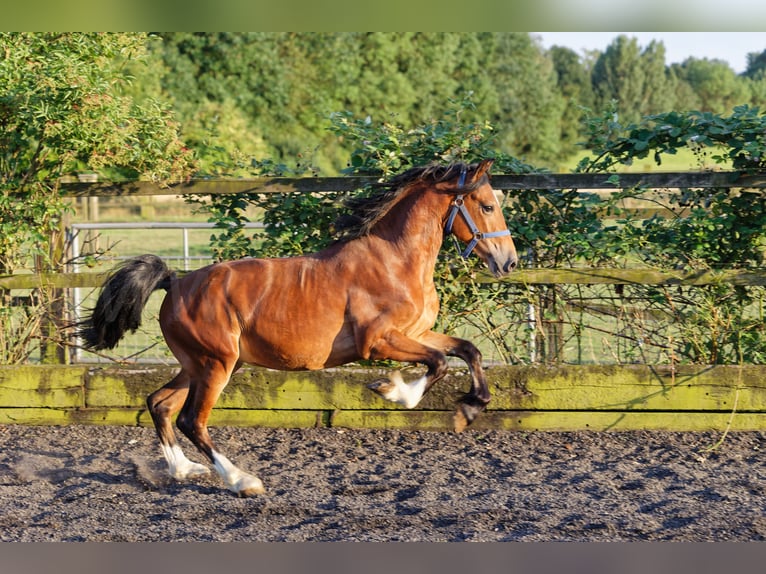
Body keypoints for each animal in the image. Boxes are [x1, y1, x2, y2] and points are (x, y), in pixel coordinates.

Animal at [78, 160, 520, 498]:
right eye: (486, 206)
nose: (509, 262)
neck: (395, 260)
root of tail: (176, 281)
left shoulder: (417, 332)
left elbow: (466, 350)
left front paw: (468, 409)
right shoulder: (377, 343)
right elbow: (439, 363)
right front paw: (392, 389)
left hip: (202, 365)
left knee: (160, 404)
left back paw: (184, 470)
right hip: (216, 365)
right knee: (191, 420)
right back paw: (242, 481)